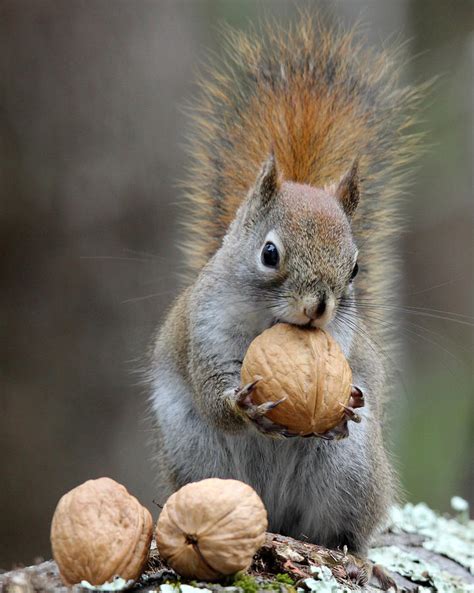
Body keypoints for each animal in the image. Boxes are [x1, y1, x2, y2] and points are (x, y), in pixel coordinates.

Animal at [148, 16, 422, 556]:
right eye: (269, 254)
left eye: (355, 268)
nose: (319, 306)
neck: (268, 324)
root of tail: (275, 515)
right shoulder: (204, 332)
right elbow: (213, 393)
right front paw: (241, 404)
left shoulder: (346, 348)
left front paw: (347, 405)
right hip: (196, 458)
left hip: (352, 475)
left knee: (344, 531)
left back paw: (356, 555)